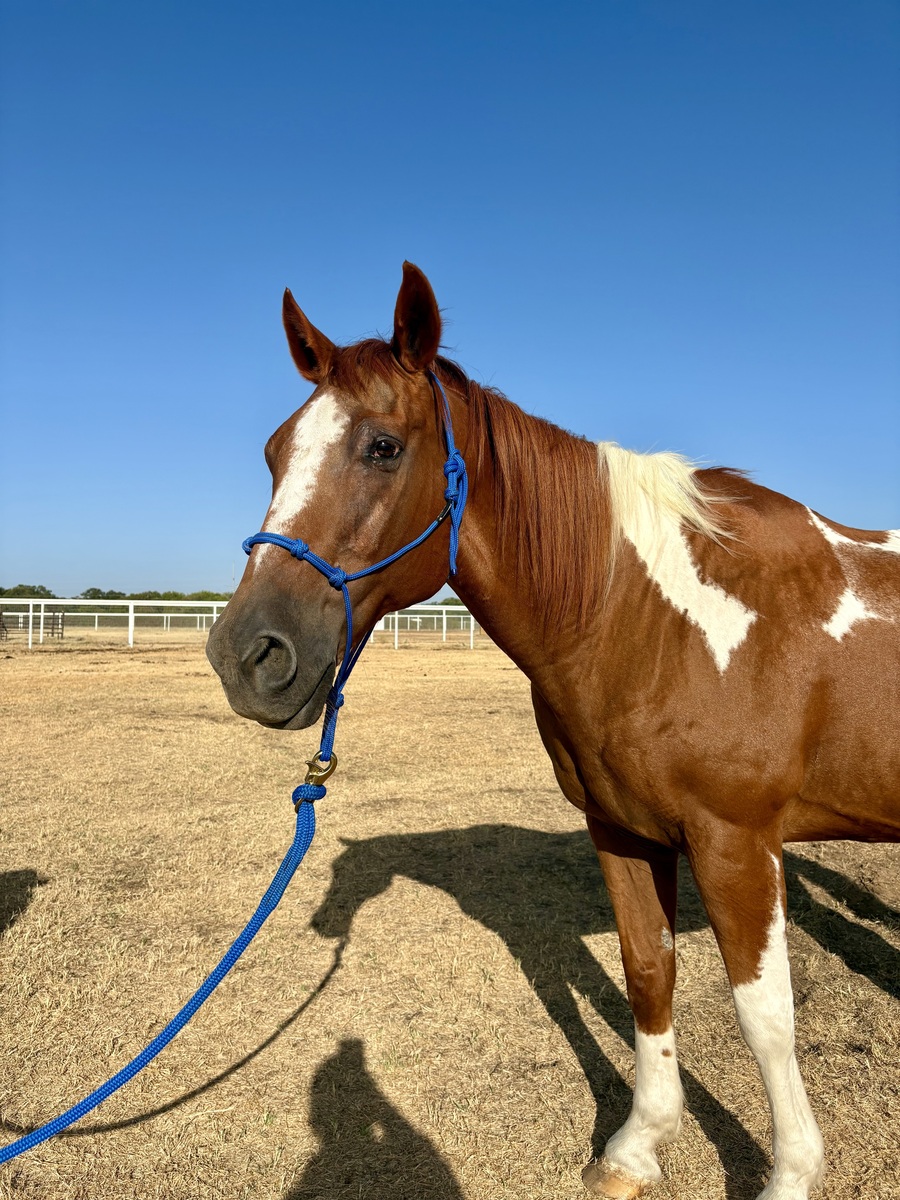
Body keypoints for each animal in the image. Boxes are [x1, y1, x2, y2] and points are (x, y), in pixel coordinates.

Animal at [206, 262, 900, 1200]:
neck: (646, 618)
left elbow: (764, 1015)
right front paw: (637, 1147)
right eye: (276, 452)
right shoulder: (622, 830)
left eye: (382, 446)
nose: (247, 655)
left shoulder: (737, 842)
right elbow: (648, 974)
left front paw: (791, 1174)